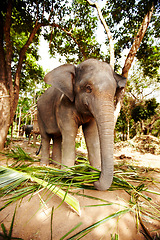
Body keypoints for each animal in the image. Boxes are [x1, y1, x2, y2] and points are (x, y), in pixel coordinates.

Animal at [37, 59, 126, 190]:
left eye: (115, 90)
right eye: (88, 88)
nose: (96, 181)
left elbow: (92, 136)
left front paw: (93, 173)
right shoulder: (63, 105)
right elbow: (70, 133)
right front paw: (67, 175)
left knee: (58, 137)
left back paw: (56, 165)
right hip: (39, 115)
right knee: (46, 137)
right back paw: (44, 165)